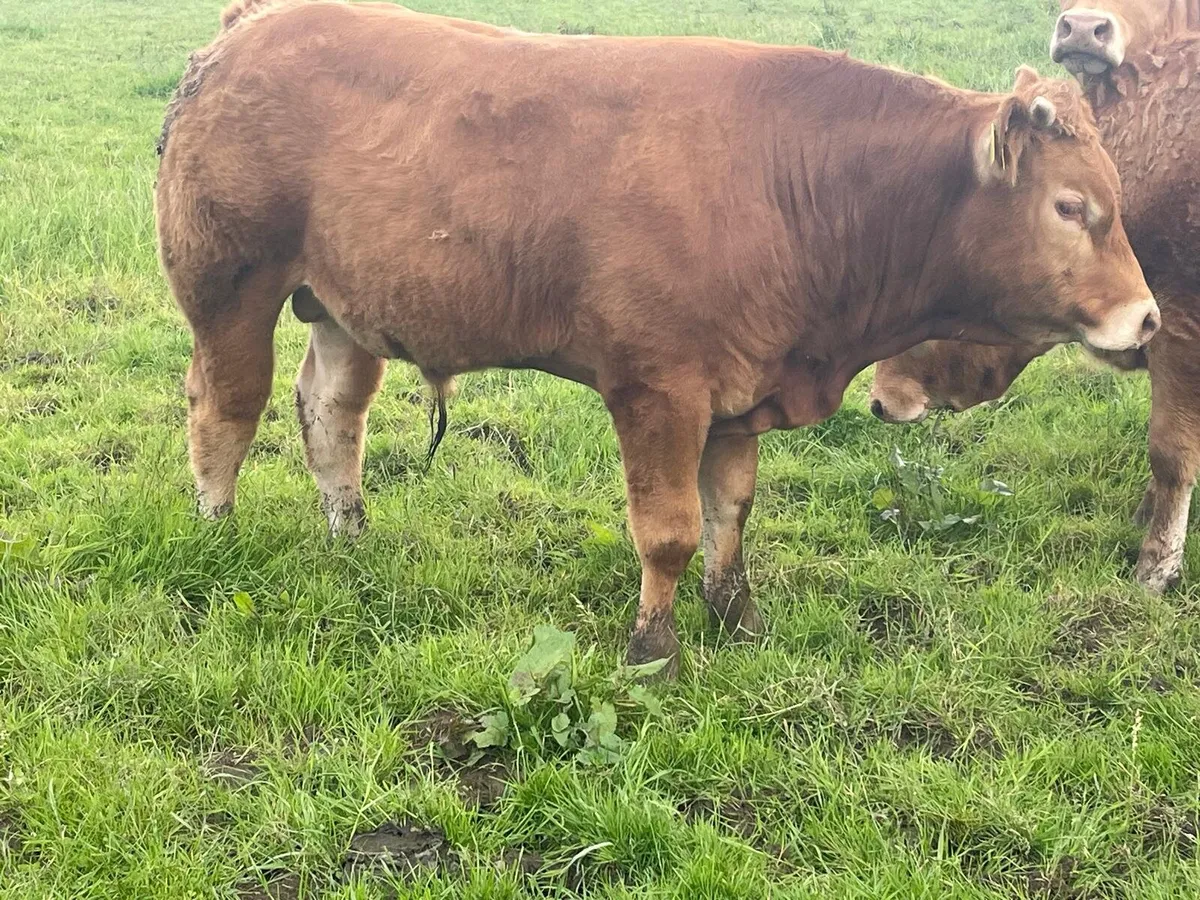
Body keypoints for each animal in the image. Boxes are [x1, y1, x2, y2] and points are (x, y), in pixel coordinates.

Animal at [156, 0, 1157, 675]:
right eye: (1072, 207)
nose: (1148, 320)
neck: (800, 185)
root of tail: (252, 25)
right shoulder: (658, 391)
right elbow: (669, 530)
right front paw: (653, 648)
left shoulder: (739, 396)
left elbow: (730, 514)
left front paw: (737, 615)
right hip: (230, 287)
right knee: (226, 408)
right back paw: (214, 528)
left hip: (338, 306)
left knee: (330, 414)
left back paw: (351, 534)